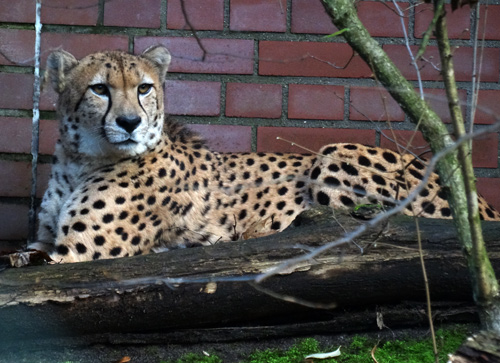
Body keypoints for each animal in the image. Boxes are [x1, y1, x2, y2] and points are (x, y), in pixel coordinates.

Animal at [30, 45, 500, 264]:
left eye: (144, 88)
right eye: (99, 89)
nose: (130, 123)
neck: (81, 160)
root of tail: (481, 202)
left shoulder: (74, 253)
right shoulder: (47, 241)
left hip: (330, 155)